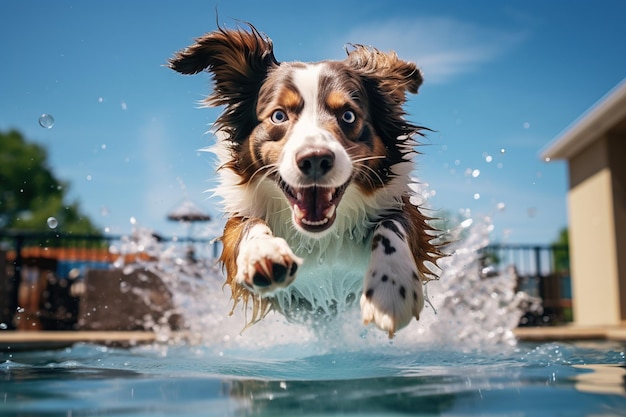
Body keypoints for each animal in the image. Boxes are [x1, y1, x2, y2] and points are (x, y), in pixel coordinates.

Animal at [168, 22, 442, 336]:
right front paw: (263, 254)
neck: (319, 237)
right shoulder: (238, 225)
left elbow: (392, 225)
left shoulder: (404, 211)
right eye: (278, 116)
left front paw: (391, 288)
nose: (315, 159)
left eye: (348, 116)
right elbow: (248, 225)